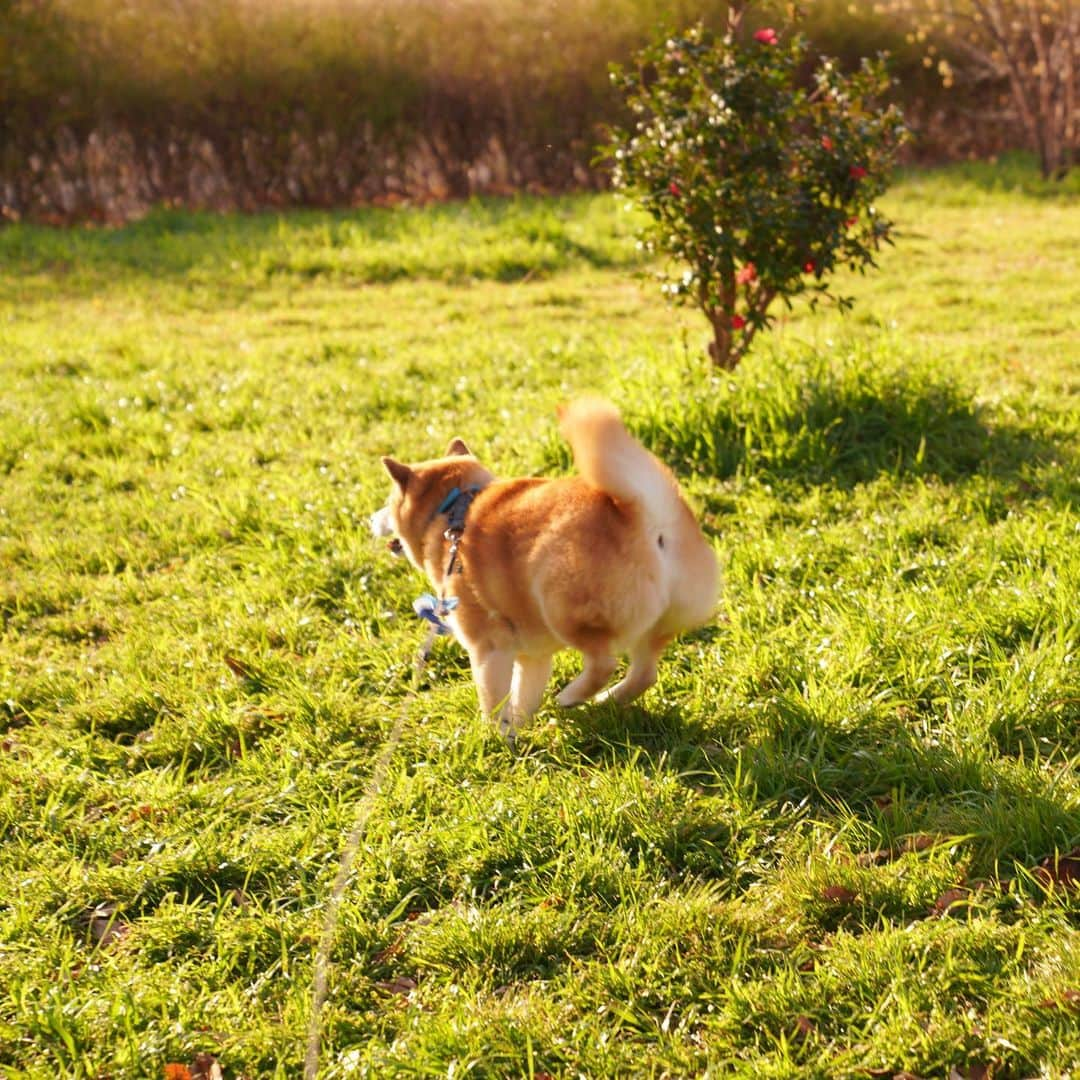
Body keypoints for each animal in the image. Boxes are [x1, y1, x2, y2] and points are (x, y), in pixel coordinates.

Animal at [371, 401, 717, 738]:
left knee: (603, 662)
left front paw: (496, 738)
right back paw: (607, 700)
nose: (372, 519)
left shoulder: (487, 647)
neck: (454, 509)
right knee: (645, 673)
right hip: (656, 625)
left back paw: (571, 695)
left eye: (387, 502)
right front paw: (520, 730)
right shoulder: (532, 655)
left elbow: (493, 699)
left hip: (563, 605)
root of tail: (646, 515)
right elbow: (524, 694)